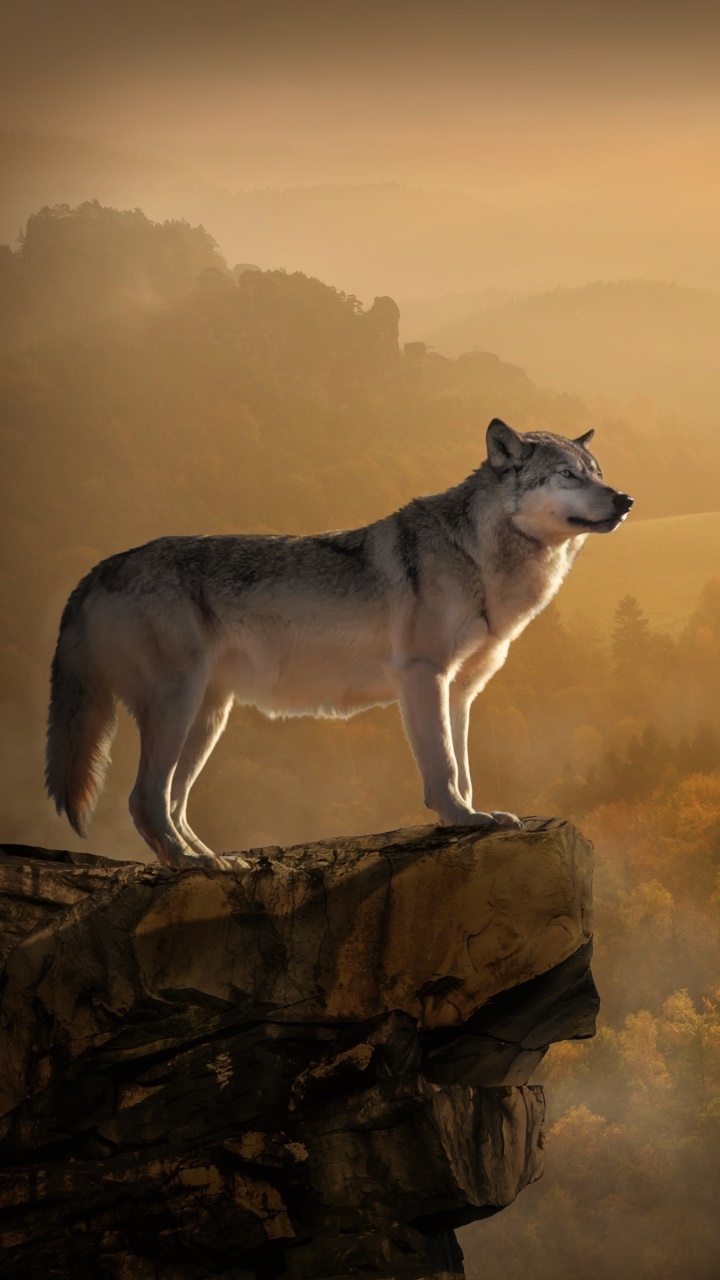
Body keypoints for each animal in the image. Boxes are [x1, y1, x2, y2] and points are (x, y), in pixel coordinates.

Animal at [46, 419, 632, 869]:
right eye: (567, 475)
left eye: (598, 473)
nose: (626, 499)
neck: (479, 557)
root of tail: (97, 569)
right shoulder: (423, 677)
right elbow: (443, 767)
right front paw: (461, 819)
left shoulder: (461, 691)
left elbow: (463, 768)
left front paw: (474, 816)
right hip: (178, 706)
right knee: (145, 799)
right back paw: (190, 864)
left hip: (209, 717)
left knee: (174, 802)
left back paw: (214, 860)